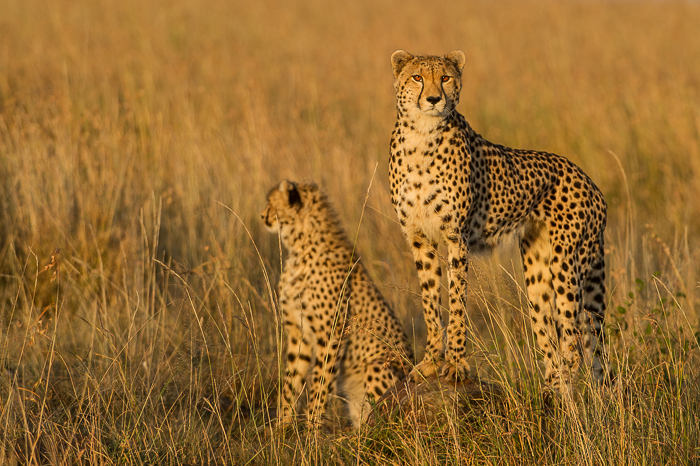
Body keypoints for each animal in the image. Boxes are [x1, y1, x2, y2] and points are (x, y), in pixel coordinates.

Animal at [264, 180, 416, 428]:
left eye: (271, 204)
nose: (263, 216)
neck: (301, 246)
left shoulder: (331, 336)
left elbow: (320, 383)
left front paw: (312, 430)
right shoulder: (298, 333)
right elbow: (290, 382)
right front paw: (282, 427)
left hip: (377, 365)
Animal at [388, 50, 612, 394]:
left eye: (445, 77)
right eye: (417, 77)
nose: (434, 99)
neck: (421, 136)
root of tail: (589, 179)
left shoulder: (457, 237)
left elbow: (456, 301)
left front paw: (456, 365)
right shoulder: (419, 238)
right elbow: (429, 300)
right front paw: (430, 362)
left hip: (566, 264)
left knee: (576, 338)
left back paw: (564, 392)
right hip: (537, 271)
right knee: (549, 335)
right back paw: (551, 389)